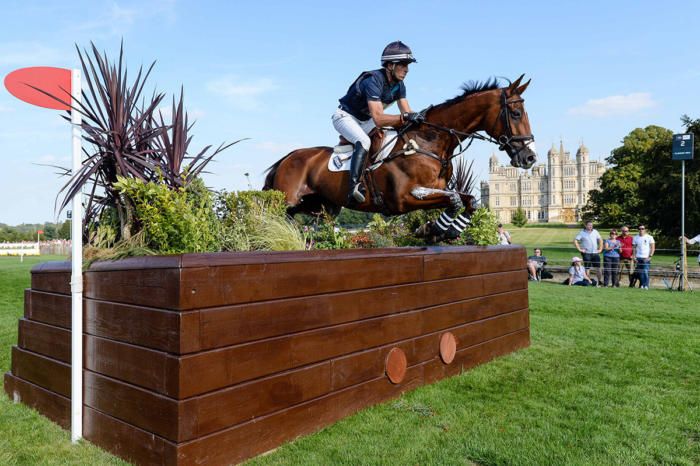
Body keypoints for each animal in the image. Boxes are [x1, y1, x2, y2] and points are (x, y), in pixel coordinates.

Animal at [262, 73, 536, 240]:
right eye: (515, 113)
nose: (529, 157)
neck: (430, 142)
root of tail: (286, 158)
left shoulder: (437, 189)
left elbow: (466, 200)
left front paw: (442, 230)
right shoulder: (403, 199)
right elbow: (455, 200)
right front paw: (433, 229)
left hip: (322, 206)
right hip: (286, 201)